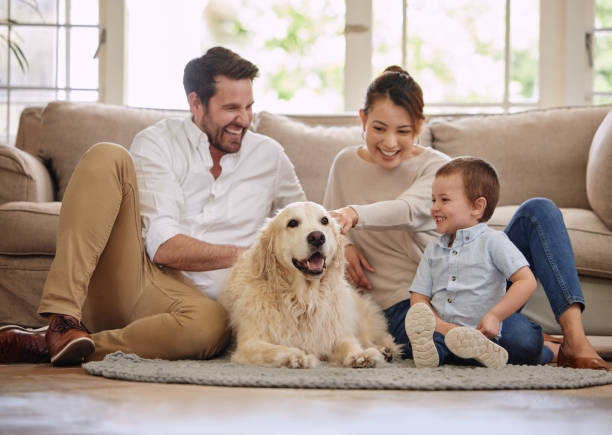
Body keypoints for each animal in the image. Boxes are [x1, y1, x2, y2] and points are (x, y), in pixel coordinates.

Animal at [220, 203, 402, 370]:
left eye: (324, 220)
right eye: (292, 223)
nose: (317, 237)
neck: (304, 299)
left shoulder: (335, 332)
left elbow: (349, 343)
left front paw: (360, 355)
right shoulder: (250, 344)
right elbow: (277, 349)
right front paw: (298, 356)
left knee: (367, 338)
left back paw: (383, 349)